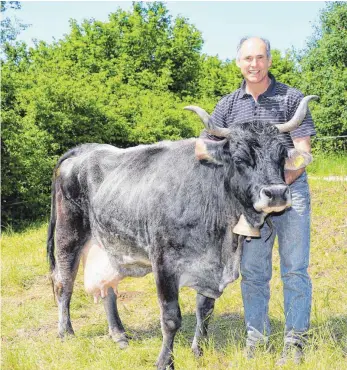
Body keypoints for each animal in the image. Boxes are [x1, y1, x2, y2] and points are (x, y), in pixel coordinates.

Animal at [47, 96, 320, 370]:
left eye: (281, 156)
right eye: (240, 158)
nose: (277, 193)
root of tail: (84, 149)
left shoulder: (208, 268)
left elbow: (205, 310)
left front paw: (198, 350)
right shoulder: (164, 263)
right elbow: (171, 318)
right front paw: (165, 361)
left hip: (110, 246)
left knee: (109, 290)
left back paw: (119, 335)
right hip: (68, 236)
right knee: (63, 284)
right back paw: (66, 332)